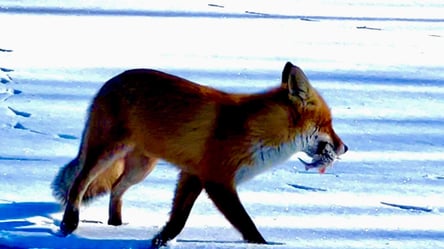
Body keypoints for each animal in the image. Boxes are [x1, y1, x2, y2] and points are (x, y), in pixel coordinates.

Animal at [52, 61, 348, 247]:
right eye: (328, 125)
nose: (345, 148)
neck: (257, 132)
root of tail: (110, 81)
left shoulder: (193, 174)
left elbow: (177, 220)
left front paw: (159, 242)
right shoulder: (217, 180)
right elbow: (246, 224)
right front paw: (265, 245)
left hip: (141, 168)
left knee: (115, 188)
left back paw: (116, 226)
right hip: (106, 153)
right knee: (79, 184)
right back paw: (69, 224)